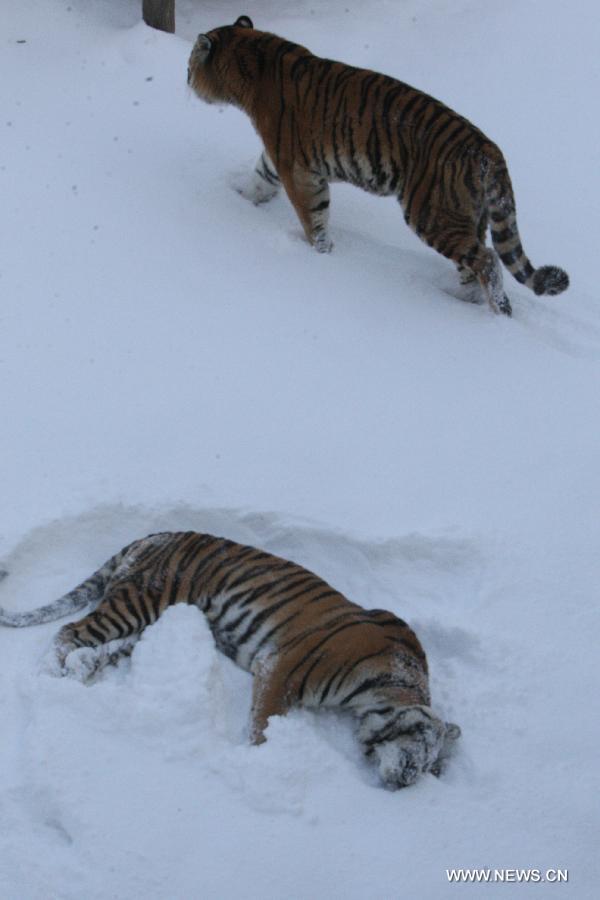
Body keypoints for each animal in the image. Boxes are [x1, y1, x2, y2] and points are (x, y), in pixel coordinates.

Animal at [0, 532, 460, 792]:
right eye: (419, 756)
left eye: (431, 769)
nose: (404, 785)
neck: (392, 685)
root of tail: (153, 533)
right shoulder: (279, 666)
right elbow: (263, 725)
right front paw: (261, 764)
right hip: (139, 601)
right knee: (68, 632)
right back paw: (47, 679)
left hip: (149, 623)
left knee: (95, 650)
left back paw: (80, 673)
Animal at [186, 14, 568, 318]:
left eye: (189, 66)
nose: (185, 80)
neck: (251, 60)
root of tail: (489, 149)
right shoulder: (279, 158)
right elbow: (259, 179)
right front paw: (239, 196)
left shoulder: (297, 168)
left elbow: (313, 218)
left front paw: (321, 254)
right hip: (469, 218)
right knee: (473, 267)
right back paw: (461, 301)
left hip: (431, 214)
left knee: (487, 261)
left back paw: (494, 312)